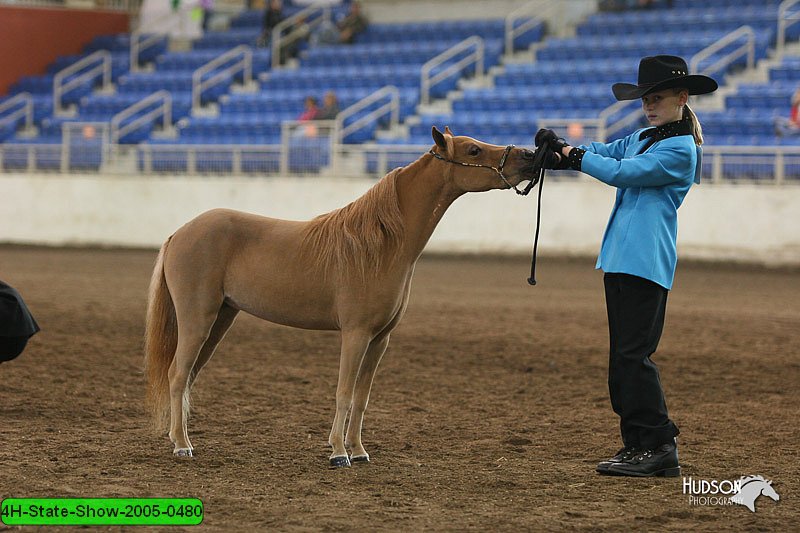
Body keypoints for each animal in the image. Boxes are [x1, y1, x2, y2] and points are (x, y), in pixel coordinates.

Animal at [146, 128, 536, 466]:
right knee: (178, 374)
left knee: (188, 375)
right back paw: (182, 446)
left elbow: (362, 399)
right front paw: (338, 453)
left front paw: (359, 451)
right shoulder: (355, 334)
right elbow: (344, 393)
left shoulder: (380, 339)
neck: (382, 245)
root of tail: (180, 233)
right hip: (198, 319)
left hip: (221, 319)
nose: (528, 156)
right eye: (474, 151)